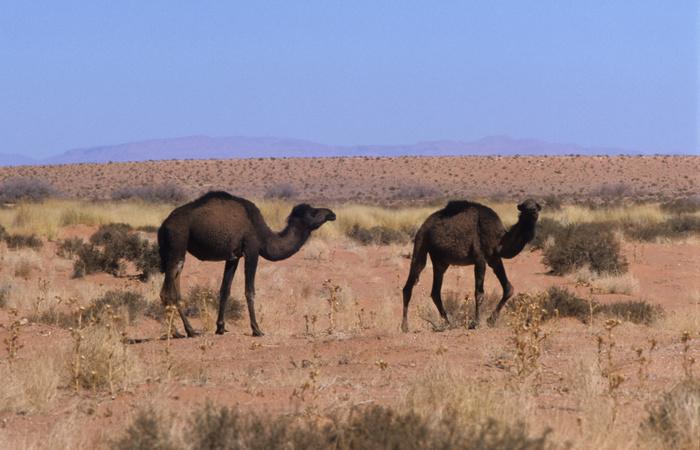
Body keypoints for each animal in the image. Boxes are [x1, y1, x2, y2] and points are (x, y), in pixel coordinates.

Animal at [157, 191, 336, 338]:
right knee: (167, 291)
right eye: (313, 212)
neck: (264, 235)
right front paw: (257, 329)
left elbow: (225, 290)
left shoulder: (233, 257)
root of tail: (163, 225)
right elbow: (249, 291)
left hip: (178, 251)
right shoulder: (252, 250)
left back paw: (185, 331)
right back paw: (181, 332)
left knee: (175, 286)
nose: (331, 214)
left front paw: (220, 328)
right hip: (177, 243)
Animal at [400, 199, 540, 332]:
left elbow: (508, 288)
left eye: (537, 206)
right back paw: (405, 327)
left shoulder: (494, 259)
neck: (499, 241)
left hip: (440, 261)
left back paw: (448, 323)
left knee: (435, 292)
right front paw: (475, 323)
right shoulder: (479, 259)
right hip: (421, 243)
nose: (533, 211)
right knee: (410, 284)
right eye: (525, 207)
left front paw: (491, 320)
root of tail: (423, 226)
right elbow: (479, 293)